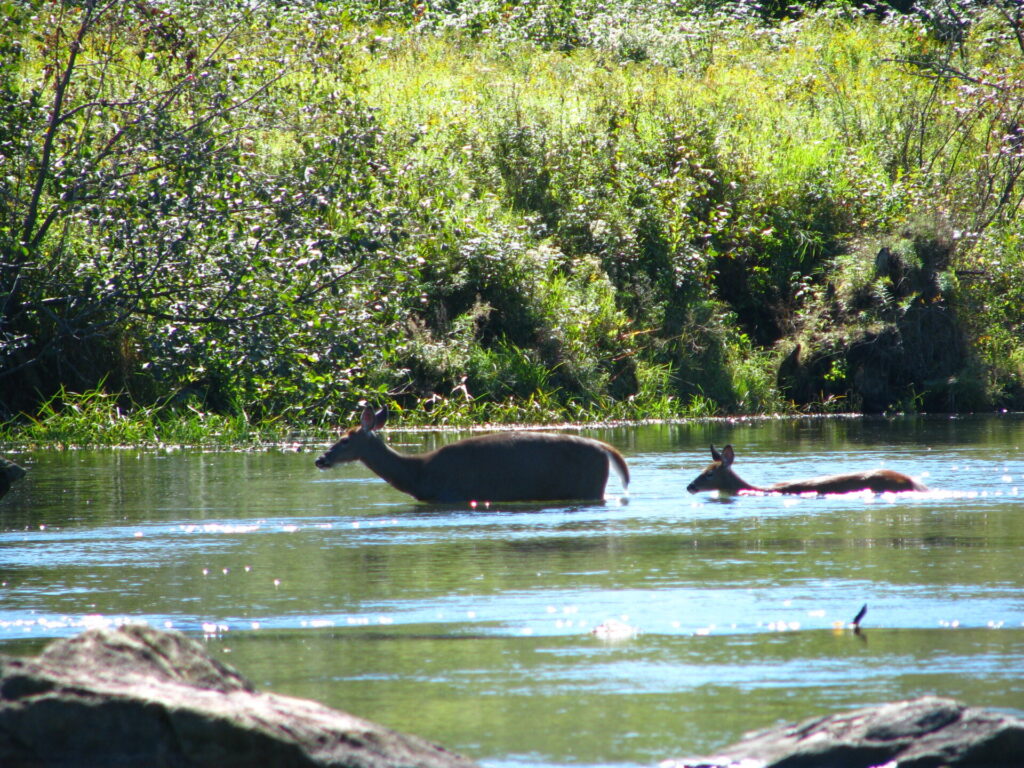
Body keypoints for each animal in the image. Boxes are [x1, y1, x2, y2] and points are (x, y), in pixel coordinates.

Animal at [315, 406, 630, 503]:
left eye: (345, 439)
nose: (321, 459)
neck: (418, 475)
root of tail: (606, 449)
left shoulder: (450, 494)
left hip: (589, 486)